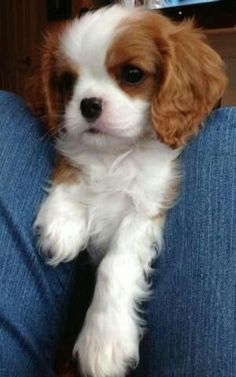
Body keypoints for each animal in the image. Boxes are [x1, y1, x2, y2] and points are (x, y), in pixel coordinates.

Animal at [33, 5, 227, 376]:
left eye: (133, 74)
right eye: (67, 82)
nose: (88, 105)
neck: (115, 154)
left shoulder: (148, 206)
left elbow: (115, 263)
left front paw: (103, 341)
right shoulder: (74, 148)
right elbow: (72, 162)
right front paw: (63, 223)